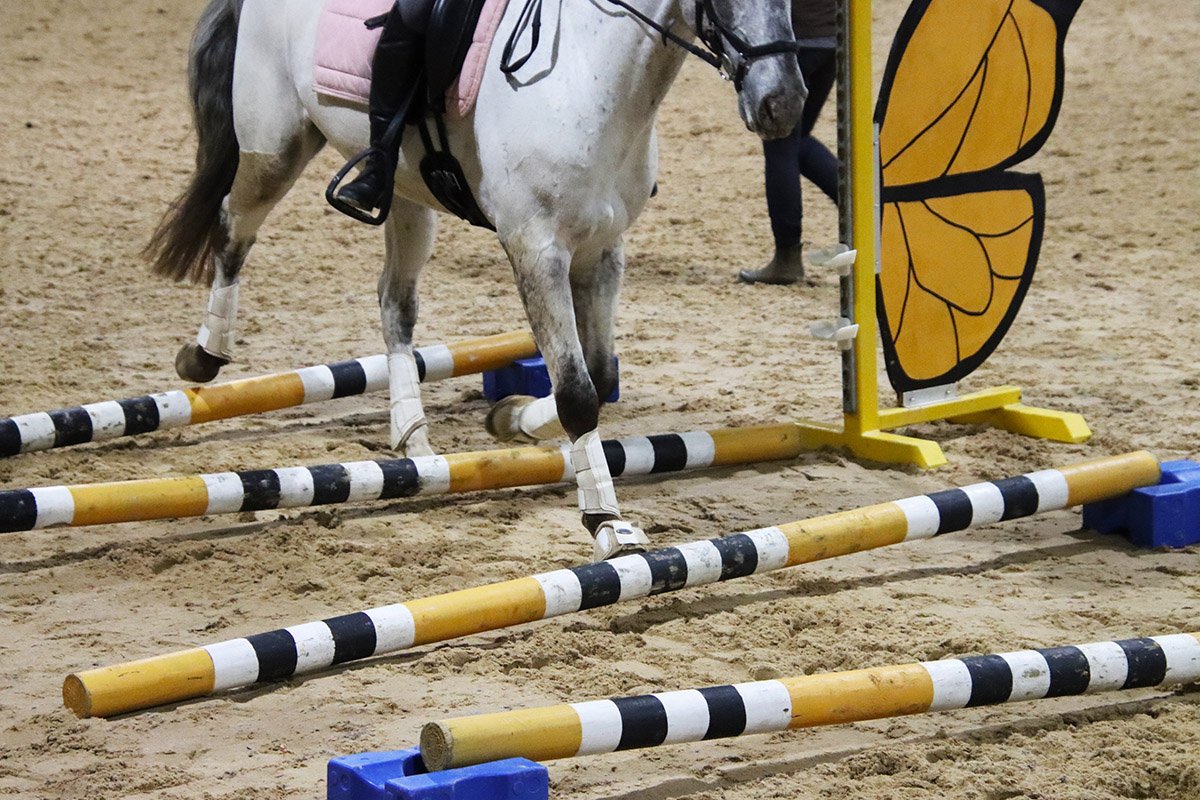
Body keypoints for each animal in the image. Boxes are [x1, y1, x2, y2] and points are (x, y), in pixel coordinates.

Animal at [146, 0, 806, 560]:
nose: (784, 104)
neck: (589, 78)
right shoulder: (537, 250)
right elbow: (578, 392)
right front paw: (607, 524)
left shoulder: (602, 251)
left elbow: (599, 375)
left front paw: (510, 419)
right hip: (275, 147)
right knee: (233, 230)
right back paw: (203, 356)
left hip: (408, 194)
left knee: (395, 302)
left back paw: (413, 439)